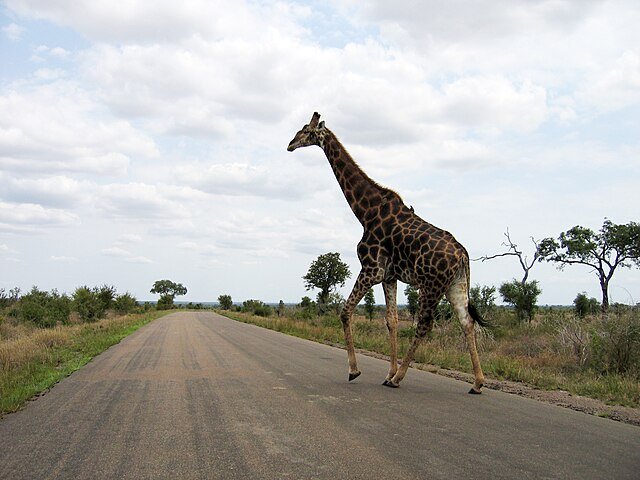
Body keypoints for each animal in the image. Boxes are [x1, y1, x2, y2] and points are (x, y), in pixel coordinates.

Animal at [287, 112, 487, 393]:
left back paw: (399, 378)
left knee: (425, 325)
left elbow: (345, 311)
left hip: (431, 285)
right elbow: (391, 320)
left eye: (306, 131)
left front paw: (355, 371)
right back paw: (477, 383)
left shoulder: (371, 268)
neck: (365, 212)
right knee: (466, 321)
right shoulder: (389, 276)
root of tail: (463, 256)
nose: (290, 144)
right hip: (455, 285)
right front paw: (386, 372)